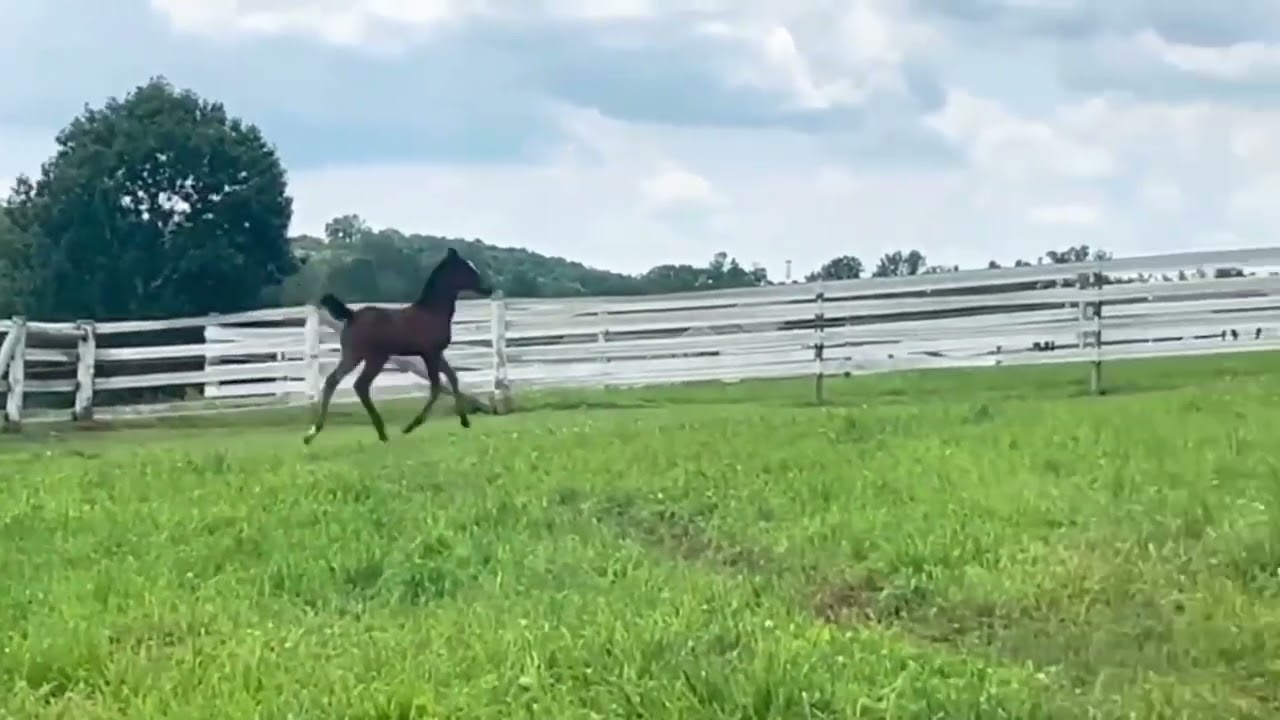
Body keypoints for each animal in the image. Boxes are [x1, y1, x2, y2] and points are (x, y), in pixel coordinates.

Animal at [302, 247, 494, 445]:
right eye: (466, 269)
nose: (489, 288)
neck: (432, 312)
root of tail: (352, 315)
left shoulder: (437, 353)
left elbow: (452, 377)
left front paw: (465, 420)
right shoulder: (430, 353)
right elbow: (436, 386)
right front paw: (411, 426)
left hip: (353, 355)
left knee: (333, 380)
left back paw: (313, 433)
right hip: (374, 358)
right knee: (360, 385)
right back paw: (381, 432)